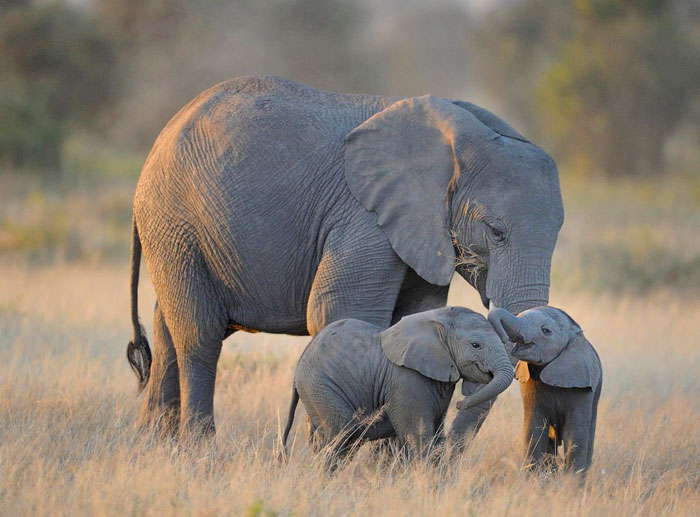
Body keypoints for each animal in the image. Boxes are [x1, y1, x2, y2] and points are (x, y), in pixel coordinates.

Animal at [126, 75, 564, 436]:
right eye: (496, 231)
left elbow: (414, 317)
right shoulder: (364, 218)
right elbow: (339, 311)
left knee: (167, 328)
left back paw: (154, 447)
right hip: (175, 222)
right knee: (199, 334)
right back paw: (199, 450)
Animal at [280, 306, 516, 464]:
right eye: (476, 345)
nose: (460, 403)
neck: (437, 319)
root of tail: (300, 362)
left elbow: (437, 435)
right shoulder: (407, 381)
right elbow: (419, 437)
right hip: (320, 386)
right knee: (341, 436)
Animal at [486, 306, 600, 472]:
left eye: (545, 330)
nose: (504, 339)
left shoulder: (582, 386)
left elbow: (575, 434)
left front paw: (571, 480)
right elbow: (534, 429)